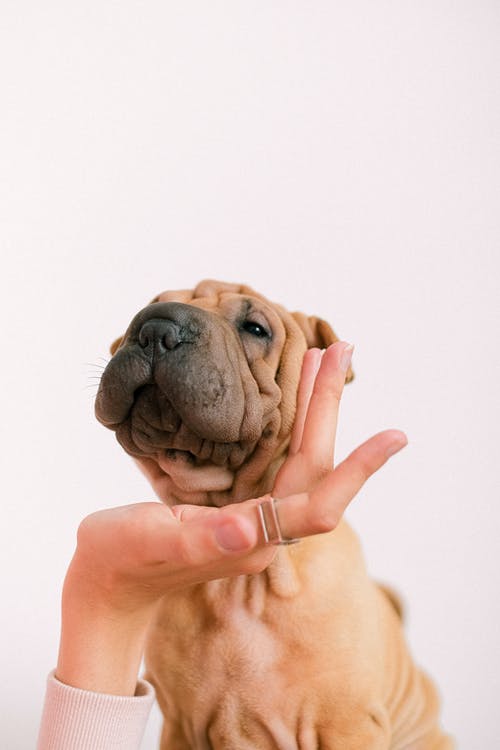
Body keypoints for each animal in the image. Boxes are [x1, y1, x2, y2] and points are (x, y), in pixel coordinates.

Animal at [94, 282, 454, 750]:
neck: (239, 586)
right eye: (148, 307)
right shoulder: (179, 726)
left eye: (255, 328)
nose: (156, 328)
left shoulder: (347, 723)